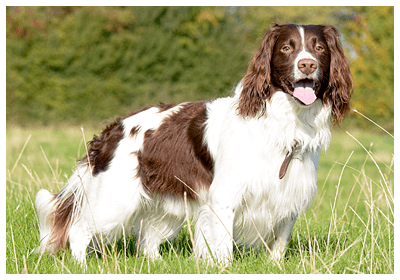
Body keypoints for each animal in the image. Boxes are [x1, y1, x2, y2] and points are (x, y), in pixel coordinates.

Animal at [35, 24, 354, 264]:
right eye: (286, 48)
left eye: (319, 48)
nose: (307, 64)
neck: (284, 123)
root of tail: (112, 130)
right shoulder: (225, 197)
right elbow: (223, 245)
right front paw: (223, 267)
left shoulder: (290, 196)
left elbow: (279, 242)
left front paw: (274, 266)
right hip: (114, 200)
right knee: (78, 230)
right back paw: (81, 265)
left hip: (163, 202)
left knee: (148, 242)